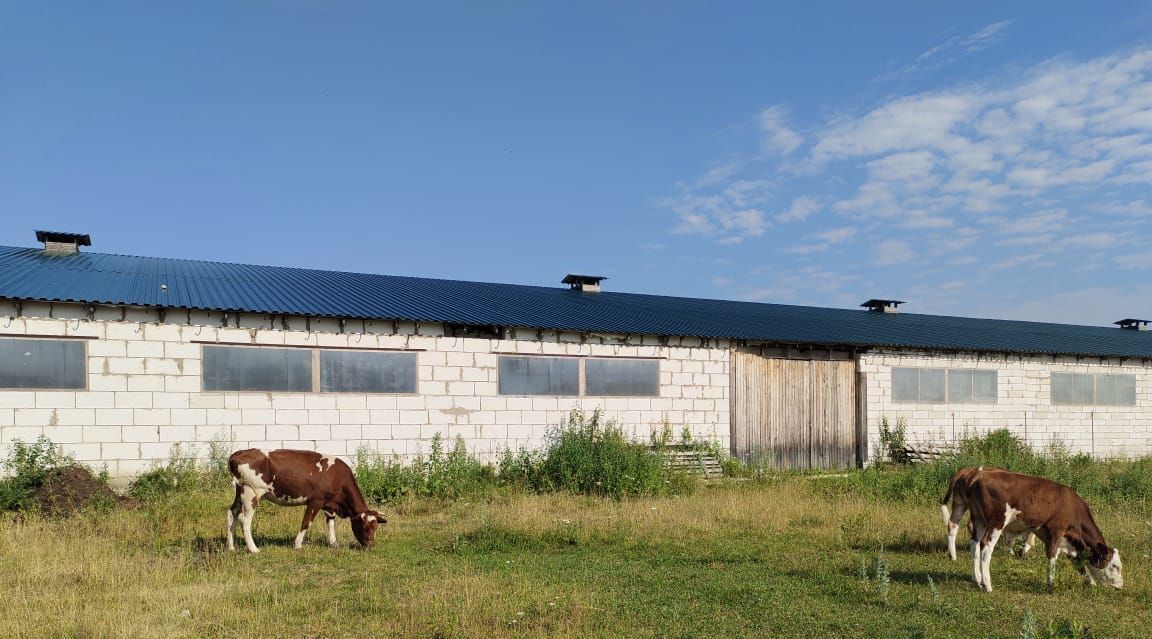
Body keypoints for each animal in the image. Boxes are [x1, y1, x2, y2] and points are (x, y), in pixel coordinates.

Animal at [225, 449, 387, 554]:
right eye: (365, 527)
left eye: (376, 527)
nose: (371, 545)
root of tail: (239, 453)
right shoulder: (316, 501)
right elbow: (306, 522)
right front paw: (297, 545)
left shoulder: (329, 504)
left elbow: (331, 523)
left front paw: (333, 543)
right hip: (251, 492)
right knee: (244, 520)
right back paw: (253, 549)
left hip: (239, 491)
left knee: (232, 513)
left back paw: (231, 547)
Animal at [958, 467, 1119, 594]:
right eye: (1115, 566)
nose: (1120, 585)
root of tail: (979, 476)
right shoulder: (1056, 530)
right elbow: (1052, 555)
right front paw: (1051, 584)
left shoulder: (1068, 540)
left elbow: (1078, 562)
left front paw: (1091, 583)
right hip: (996, 522)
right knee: (986, 547)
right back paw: (987, 585)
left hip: (978, 519)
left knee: (975, 543)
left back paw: (977, 579)